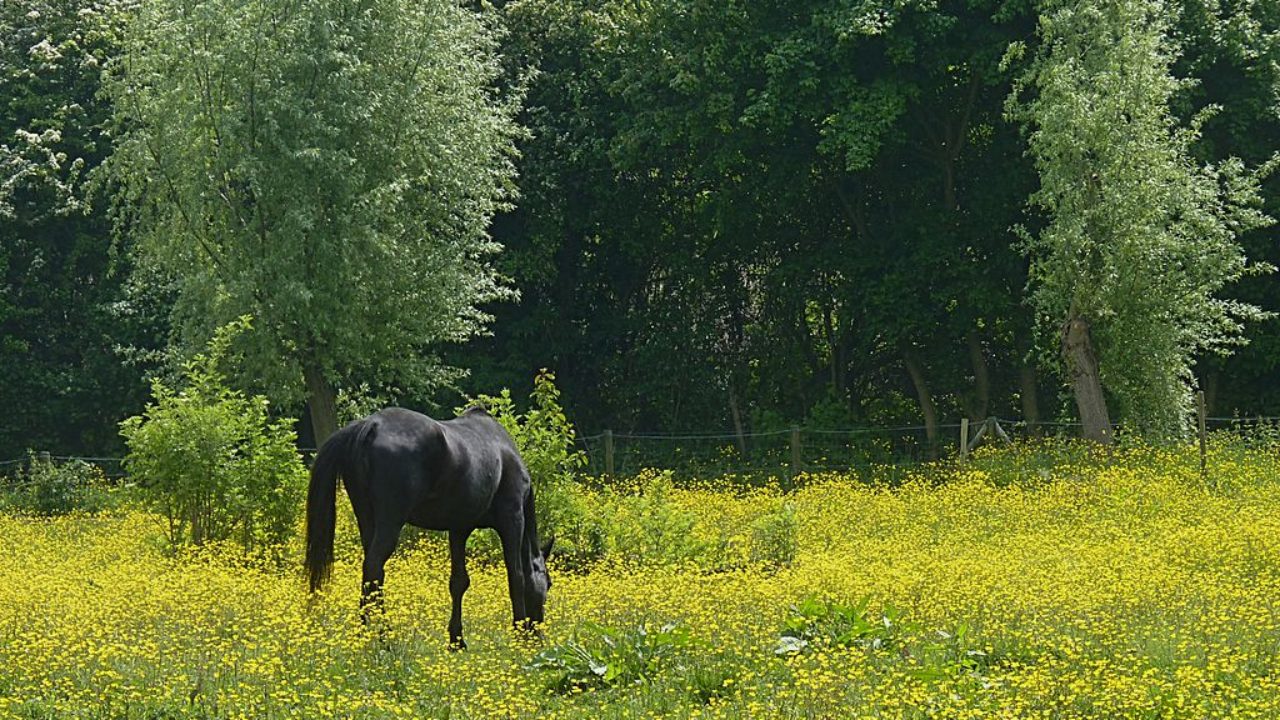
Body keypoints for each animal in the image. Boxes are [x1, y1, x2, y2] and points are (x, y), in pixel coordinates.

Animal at [309, 404, 555, 645]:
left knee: (373, 574)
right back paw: (383, 637)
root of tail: (371, 425)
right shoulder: (512, 520)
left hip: (367, 519)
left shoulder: (459, 528)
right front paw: (520, 636)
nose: (539, 636)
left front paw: (456, 641)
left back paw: (364, 635)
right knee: (373, 568)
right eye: (549, 584)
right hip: (390, 522)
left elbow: (459, 582)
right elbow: (517, 577)